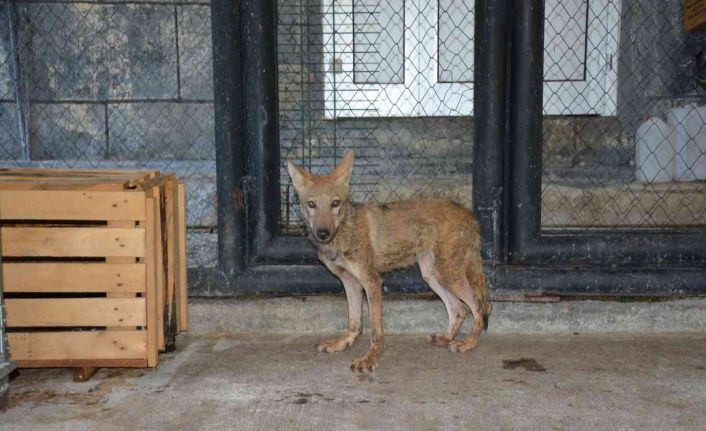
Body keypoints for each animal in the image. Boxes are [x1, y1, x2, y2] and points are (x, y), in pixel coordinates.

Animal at [286, 151, 490, 372]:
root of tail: (470, 214)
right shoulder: (350, 282)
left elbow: (375, 331)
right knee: (459, 309)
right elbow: (354, 322)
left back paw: (468, 344)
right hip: (432, 276)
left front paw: (370, 359)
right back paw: (446, 339)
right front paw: (343, 344)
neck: (343, 232)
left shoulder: (372, 282)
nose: (323, 233)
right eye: (311, 204)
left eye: (335, 203)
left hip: (449, 276)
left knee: (478, 308)